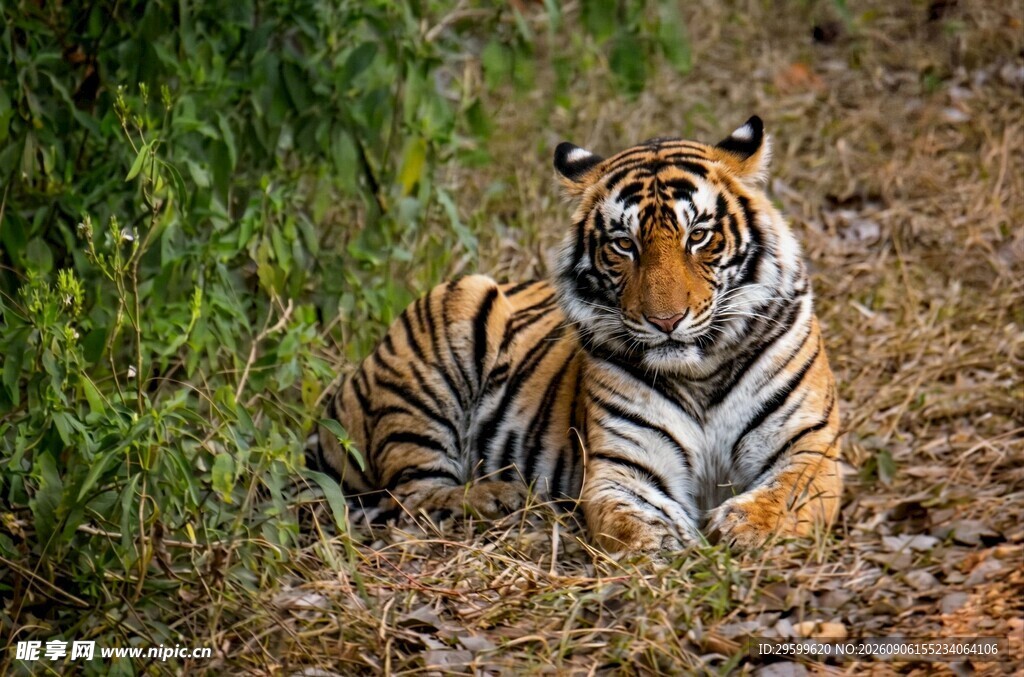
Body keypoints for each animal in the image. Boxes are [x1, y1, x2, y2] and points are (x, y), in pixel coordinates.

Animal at [310, 116, 842, 553]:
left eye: (698, 237)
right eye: (624, 245)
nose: (665, 321)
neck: (700, 372)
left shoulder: (809, 444)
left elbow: (786, 494)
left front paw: (741, 528)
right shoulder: (622, 464)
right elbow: (632, 520)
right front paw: (670, 547)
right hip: (451, 318)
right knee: (413, 495)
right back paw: (498, 496)